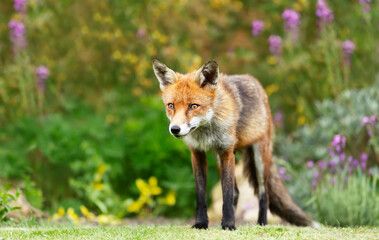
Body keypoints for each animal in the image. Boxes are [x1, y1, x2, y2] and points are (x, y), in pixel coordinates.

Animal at [153, 59, 320, 230]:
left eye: (193, 106)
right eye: (171, 105)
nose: (175, 129)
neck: (206, 131)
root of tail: (256, 83)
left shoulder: (227, 152)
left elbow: (226, 194)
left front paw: (228, 224)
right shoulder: (197, 153)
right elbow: (201, 195)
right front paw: (201, 223)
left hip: (259, 158)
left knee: (263, 193)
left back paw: (261, 223)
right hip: (221, 158)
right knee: (237, 192)